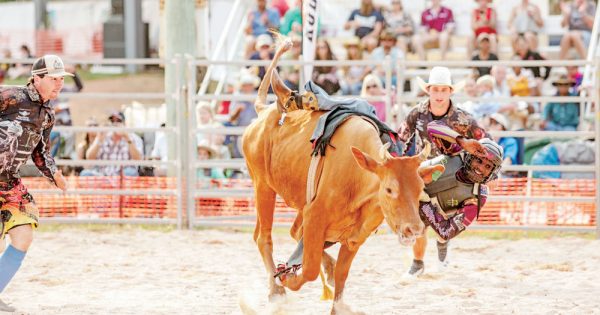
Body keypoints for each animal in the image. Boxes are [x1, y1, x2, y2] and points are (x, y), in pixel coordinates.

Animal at [241, 39, 442, 314]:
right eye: (389, 189)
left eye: (421, 189)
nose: (414, 229)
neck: (358, 180)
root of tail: (262, 113)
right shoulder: (314, 216)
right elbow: (309, 268)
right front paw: (288, 278)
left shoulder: (355, 237)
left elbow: (341, 273)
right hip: (263, 186)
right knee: (264, 237)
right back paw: (276, 291)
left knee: (288, 234)